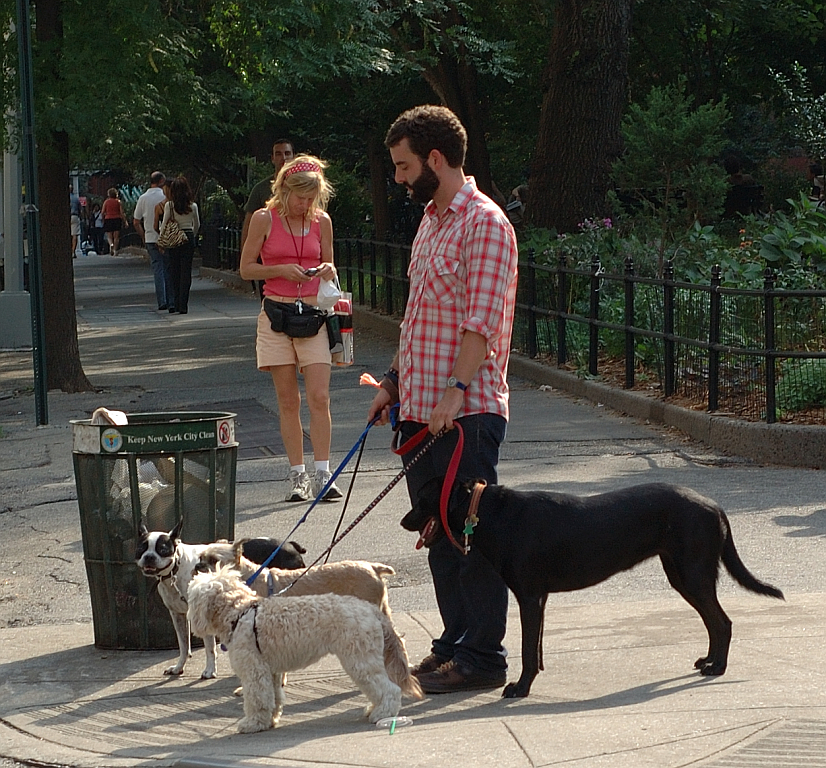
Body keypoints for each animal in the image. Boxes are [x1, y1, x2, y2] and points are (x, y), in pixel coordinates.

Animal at [135, 520, 306, 680]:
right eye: (141, 549)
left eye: (163, 550)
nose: (149, 557)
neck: (175, 570)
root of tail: (291, 545)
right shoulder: (177, 615)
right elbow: (183, 645)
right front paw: (178, 668)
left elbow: (210, 648)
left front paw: (210, 670)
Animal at [189, 568, 422, 736]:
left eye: (191, 597)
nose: (190, 620)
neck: (239, 612)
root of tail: (372, 610)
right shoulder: (271, 671)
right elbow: (274, 698)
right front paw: (270, 720)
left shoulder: (254, 672)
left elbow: (258, 700)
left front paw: (253, 723)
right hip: (364, 659)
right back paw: (374, 709)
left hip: (360, 661)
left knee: (390, 689)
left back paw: (383, 713)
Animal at [402, 476, 784, 700]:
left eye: (422, 498)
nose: (404, 521)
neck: (488, 513)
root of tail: (715, 506)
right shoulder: (539, 599)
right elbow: (535, 647)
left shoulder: (528, 596)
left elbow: (527, 649)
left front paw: (521, 688)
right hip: (682, 576)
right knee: (714, 622)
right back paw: (709, 660)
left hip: (693, 574)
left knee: (722, 622)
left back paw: (717, 668)